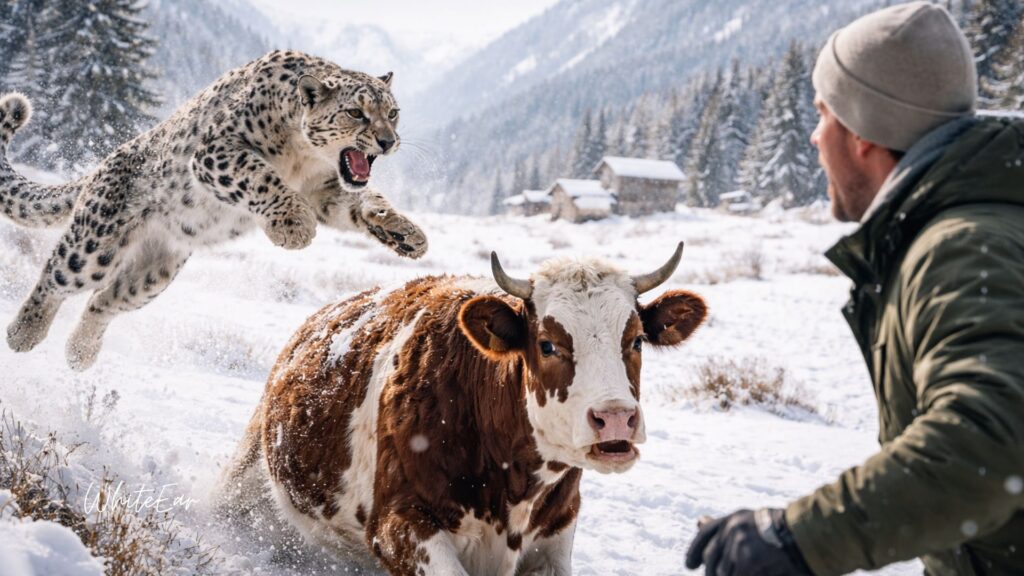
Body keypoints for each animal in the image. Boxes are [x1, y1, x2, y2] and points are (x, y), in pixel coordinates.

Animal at [0, 50, 428, 371]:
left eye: (393, 112)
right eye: (356, 112)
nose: (388, 141)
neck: (305, 159)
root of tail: (102, 165)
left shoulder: (326, 189)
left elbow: (366, 203)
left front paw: (407, 234)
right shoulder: (217, 151)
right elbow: (261, 176)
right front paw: (293, 226)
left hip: (153, 275)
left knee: (104, 300)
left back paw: (80, 354)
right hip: (94, 245)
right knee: (57, 276)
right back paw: (23, 334)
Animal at [221, 243, 707, 575]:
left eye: (636, 339)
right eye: (547, 344)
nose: (616, 418)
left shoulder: (554, 536)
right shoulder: (399, 525)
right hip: (246, 481)